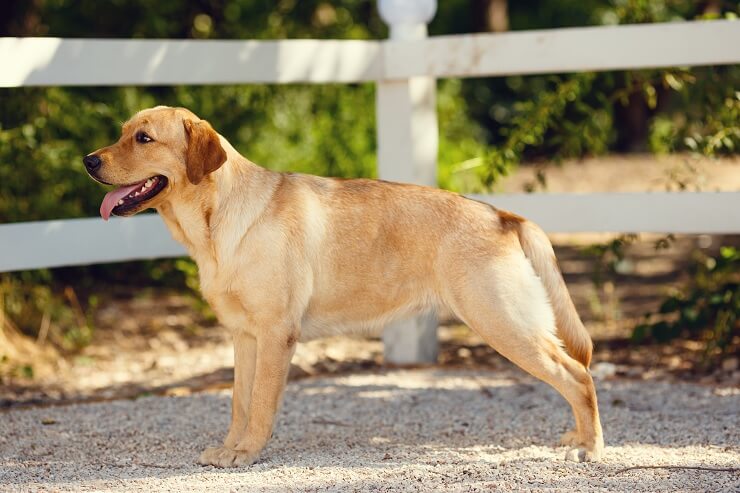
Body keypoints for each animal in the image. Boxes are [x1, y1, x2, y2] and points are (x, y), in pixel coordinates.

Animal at [84, 105, 604, 468]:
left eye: (143, 138)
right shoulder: (244, 337)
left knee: (578, 376)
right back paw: (578, 438)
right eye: (121, 132)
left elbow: (260, 406)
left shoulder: (276, 334)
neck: (214, 222)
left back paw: (590, 447)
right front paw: (230, 448)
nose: (87, 160)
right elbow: (238, 403)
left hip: (503, 322)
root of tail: (503, 215)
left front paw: (247, 453)